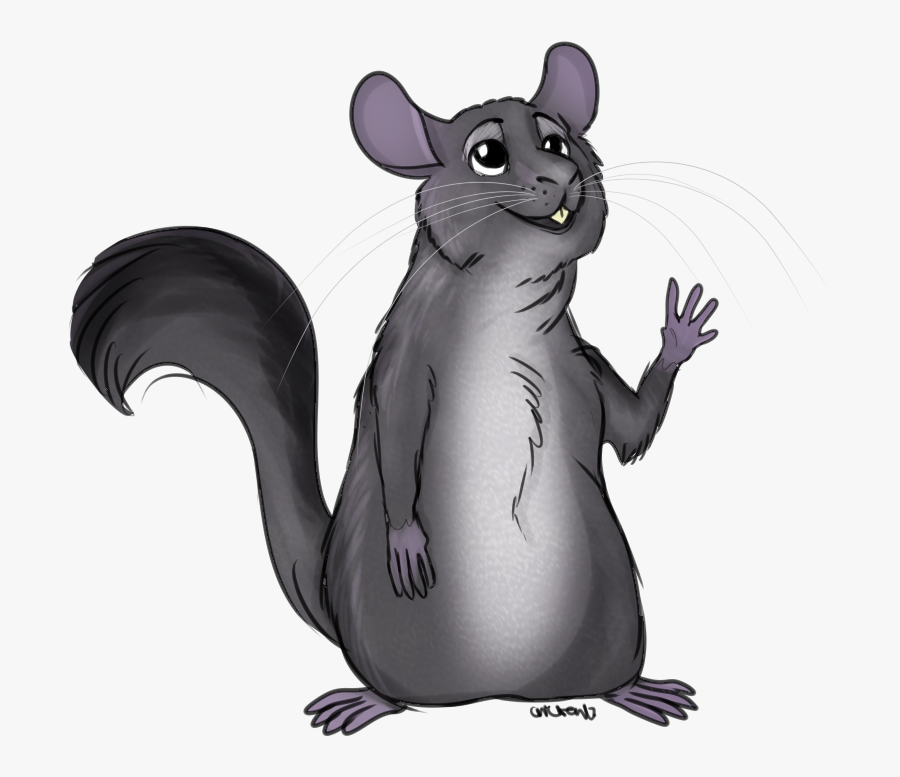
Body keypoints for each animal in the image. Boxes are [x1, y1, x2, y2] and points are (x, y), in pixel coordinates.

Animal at [70, 42, 717, 735]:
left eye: (557, 141)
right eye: (489, 154)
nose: (561, 178)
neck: (509, 298)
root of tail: (504, 691)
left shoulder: (585, 361)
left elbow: (630, 431)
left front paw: (679, 335)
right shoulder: (406, 365)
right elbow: (400, 436)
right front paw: (407, 539)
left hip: (617, 605)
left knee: (605, 675)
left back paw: (634, 690)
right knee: (392, 686)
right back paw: (369, 699)